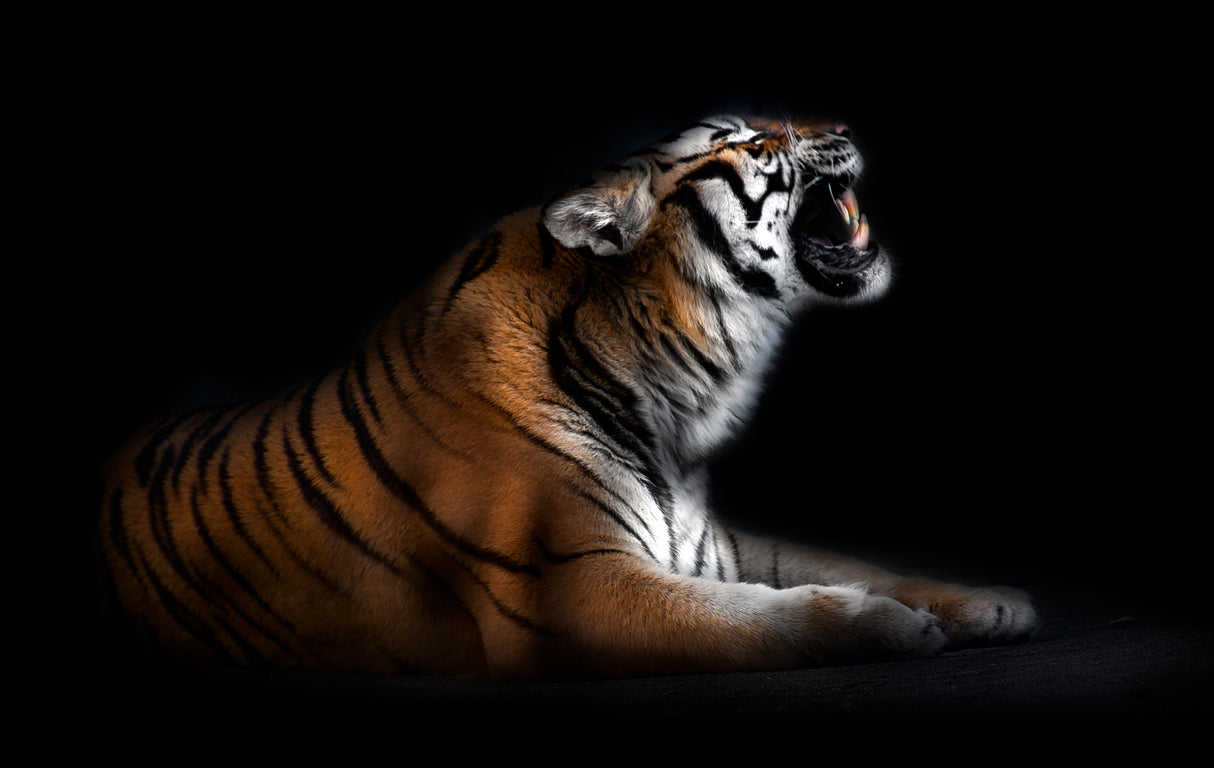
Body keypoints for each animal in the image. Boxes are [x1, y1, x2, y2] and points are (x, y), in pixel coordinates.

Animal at [97, 114, 1039, 678]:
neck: (678, 395)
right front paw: (891, 628)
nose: (843, 125)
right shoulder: (572, 588)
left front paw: (989, 602)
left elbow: (846, 562)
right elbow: (756, 622)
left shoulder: (713, 546)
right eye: (756, 142)